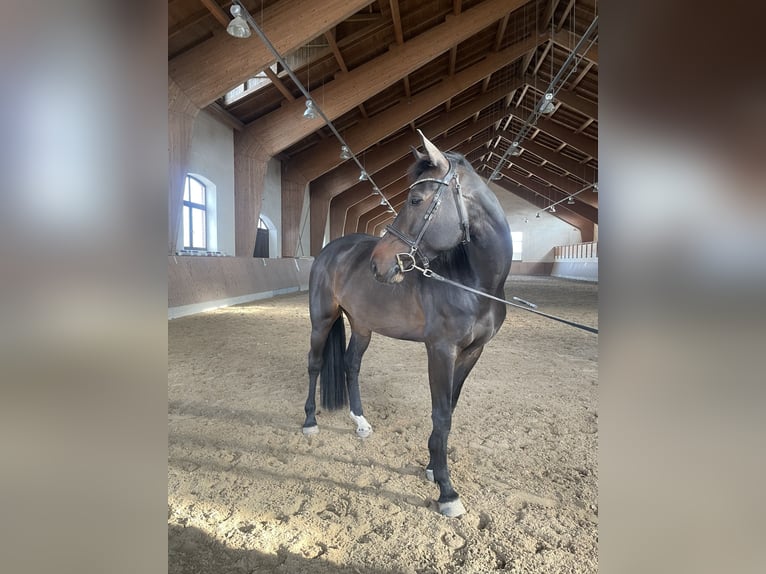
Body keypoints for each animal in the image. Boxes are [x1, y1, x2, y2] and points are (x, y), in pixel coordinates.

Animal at [302, 130, 513, 517]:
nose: (379, 263)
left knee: (351, 365)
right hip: (321, 320)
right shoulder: (440, 350)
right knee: (314, 364)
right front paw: (447, 490)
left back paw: (361, 422)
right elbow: (441, 413)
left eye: (416, 199)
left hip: (363, 326)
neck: (474, 282)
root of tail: (330, 249)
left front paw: (432, 466)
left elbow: (450, 407)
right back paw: (310, 422)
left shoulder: (472, 352)